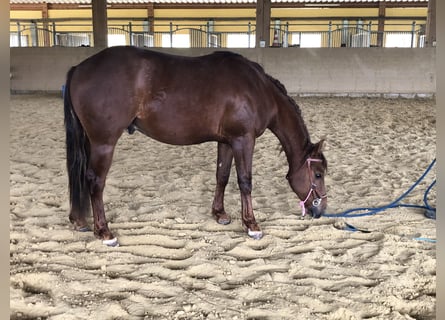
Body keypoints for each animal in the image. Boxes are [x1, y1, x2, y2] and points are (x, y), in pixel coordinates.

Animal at [63, 45, 326, 245]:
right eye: (318, 174)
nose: (321, 209)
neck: (258, 89)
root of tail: (79, 69)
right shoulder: (244, 140)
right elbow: (245, 182)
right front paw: (251, 225)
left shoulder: (227, 142)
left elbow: (222, 176)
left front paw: (220, 214)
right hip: (104, 143)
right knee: (95, 181)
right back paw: (104, 232)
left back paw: (80, 220)